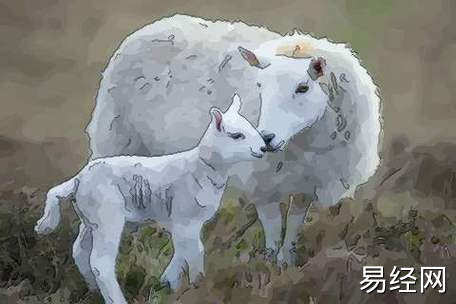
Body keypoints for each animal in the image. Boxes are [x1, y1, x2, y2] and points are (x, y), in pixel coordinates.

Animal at [35, 95, 268, 304]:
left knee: (80, 252)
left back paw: (92, 290)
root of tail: (78, 179)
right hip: (107, 217)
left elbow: (181, 251)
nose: (264, 148)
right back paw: (116, 299)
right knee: (101, 263)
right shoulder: (185, 218)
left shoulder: (183, 223)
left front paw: (167, 284)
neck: (201, 168)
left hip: (90, 219)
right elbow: (195, 251)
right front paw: (198, 286)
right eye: (236, 135)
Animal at [87, 14, 382, 264]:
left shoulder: (306, 184)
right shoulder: (263, 184)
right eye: (260, 86)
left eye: (303, 87)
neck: (305, 141)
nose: (266, 138)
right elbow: (273, 228)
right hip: (116, 140)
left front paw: (286, 263)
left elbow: (294, 227)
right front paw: (270, 264)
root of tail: (156, 25)